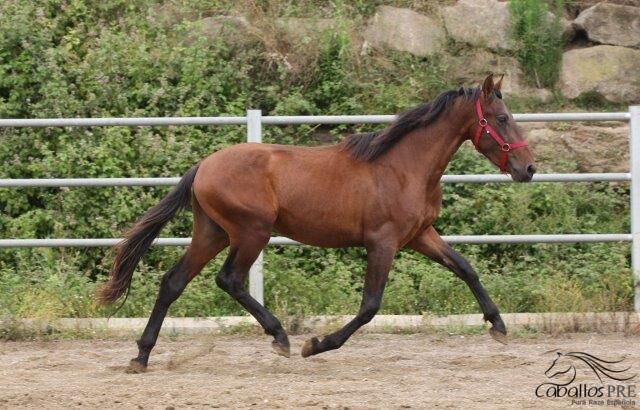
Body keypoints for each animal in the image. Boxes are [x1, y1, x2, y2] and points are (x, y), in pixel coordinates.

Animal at [99, 74, 536, 372]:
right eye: (501, 118)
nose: (528, 168)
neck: (403, 167)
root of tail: (203, 166)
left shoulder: (419, 235)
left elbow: (465, 268)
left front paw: (498, 326)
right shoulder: (383, 242)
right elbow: (370, 305)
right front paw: (316, 345)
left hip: (213, 233)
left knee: (173, 282)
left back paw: (141, 356)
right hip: (251, 232)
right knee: (230, 280)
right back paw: (280, 338)